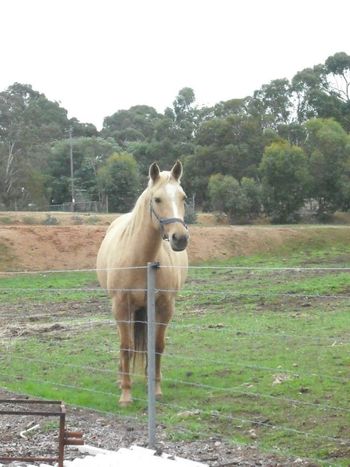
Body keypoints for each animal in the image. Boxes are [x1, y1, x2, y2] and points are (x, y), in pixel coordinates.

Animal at [96, 161, 189, 406]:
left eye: (183, 197)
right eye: (157, 199)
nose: (180, 238)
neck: (140, 259)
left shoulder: (165, 306)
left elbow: (156, 346)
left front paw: (155, 389)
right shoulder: (121, 305)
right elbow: (126, 346)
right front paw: (125, 394)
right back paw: (121, 378)